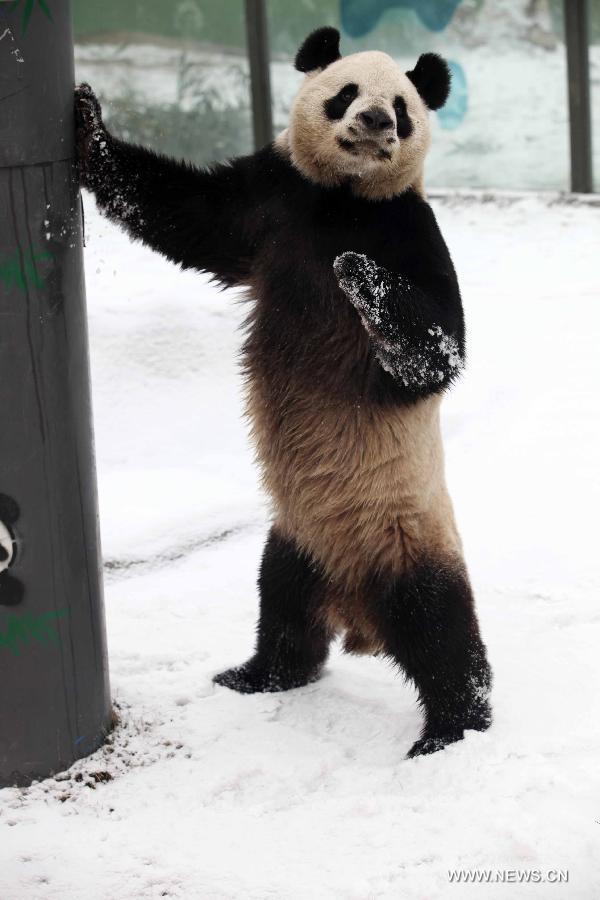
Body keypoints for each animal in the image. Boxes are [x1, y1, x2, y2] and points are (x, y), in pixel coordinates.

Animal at [75, 26, 492, 757]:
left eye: (402, 107)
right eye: (346, 93)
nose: (376, 122)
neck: (344, 199)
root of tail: (357, 610)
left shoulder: (409, 231)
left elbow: (439, 351)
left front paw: (358, 273)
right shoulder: (272, 200)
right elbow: (184, 213)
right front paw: (87, 120)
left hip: (409, 535)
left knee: (441, 632)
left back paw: (450, 731)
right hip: (298, 537)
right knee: (283, 608)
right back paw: (256, 675)